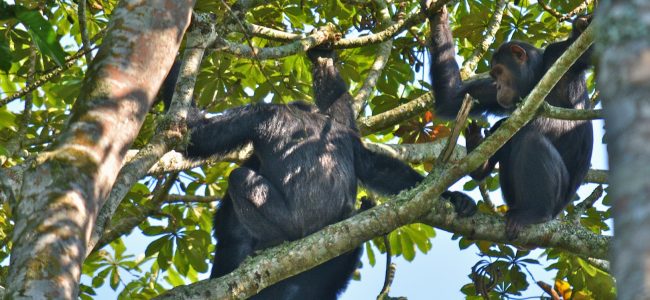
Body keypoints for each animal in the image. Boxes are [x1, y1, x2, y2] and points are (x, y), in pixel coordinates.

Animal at [161, 45, 476, 300]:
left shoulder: (257, 114)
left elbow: (199, 137)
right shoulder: (345, 134)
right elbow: (376, 165)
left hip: (293, 225)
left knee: (239, 179)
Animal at [426, 5, 592, 238]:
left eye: (499, 72)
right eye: (494, 76)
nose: (497, 86)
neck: (537, 77)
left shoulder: (561, 56)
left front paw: (581, 25)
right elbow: (452, 99)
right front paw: (438, 18)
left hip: (556, 203)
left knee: (530, 139)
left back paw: (535, 213)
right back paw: (479, 159)